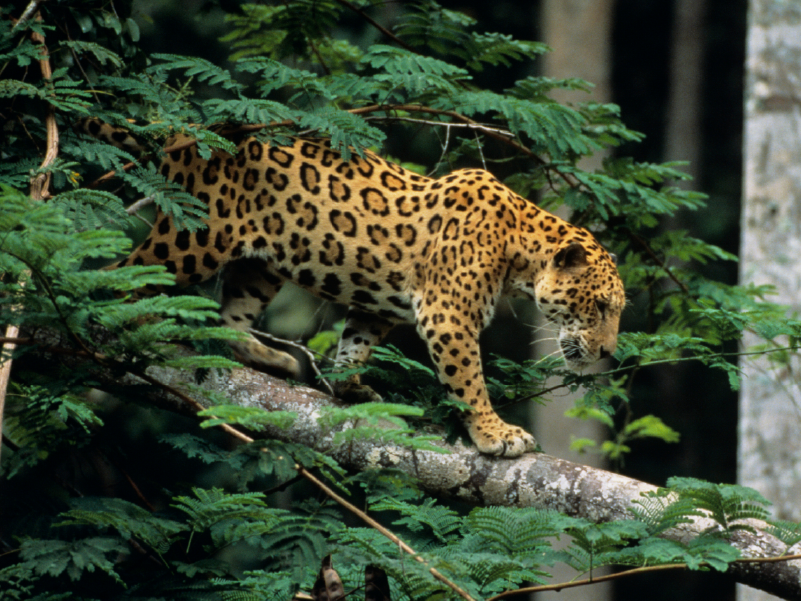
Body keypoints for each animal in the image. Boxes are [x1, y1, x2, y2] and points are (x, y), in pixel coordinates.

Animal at [81, 119, 626, 458]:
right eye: (600, 307)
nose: (608, 353)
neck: (520, 251)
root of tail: (185, 135)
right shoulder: (448, 316)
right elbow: (469, 381)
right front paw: (496, 434)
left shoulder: (381, 309)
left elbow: (356, 343)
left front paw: (349, 385)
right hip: (195, 238)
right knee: (124, 274)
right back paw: (133, 321)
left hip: (262, 265)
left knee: (228, 315)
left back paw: (271, 358)